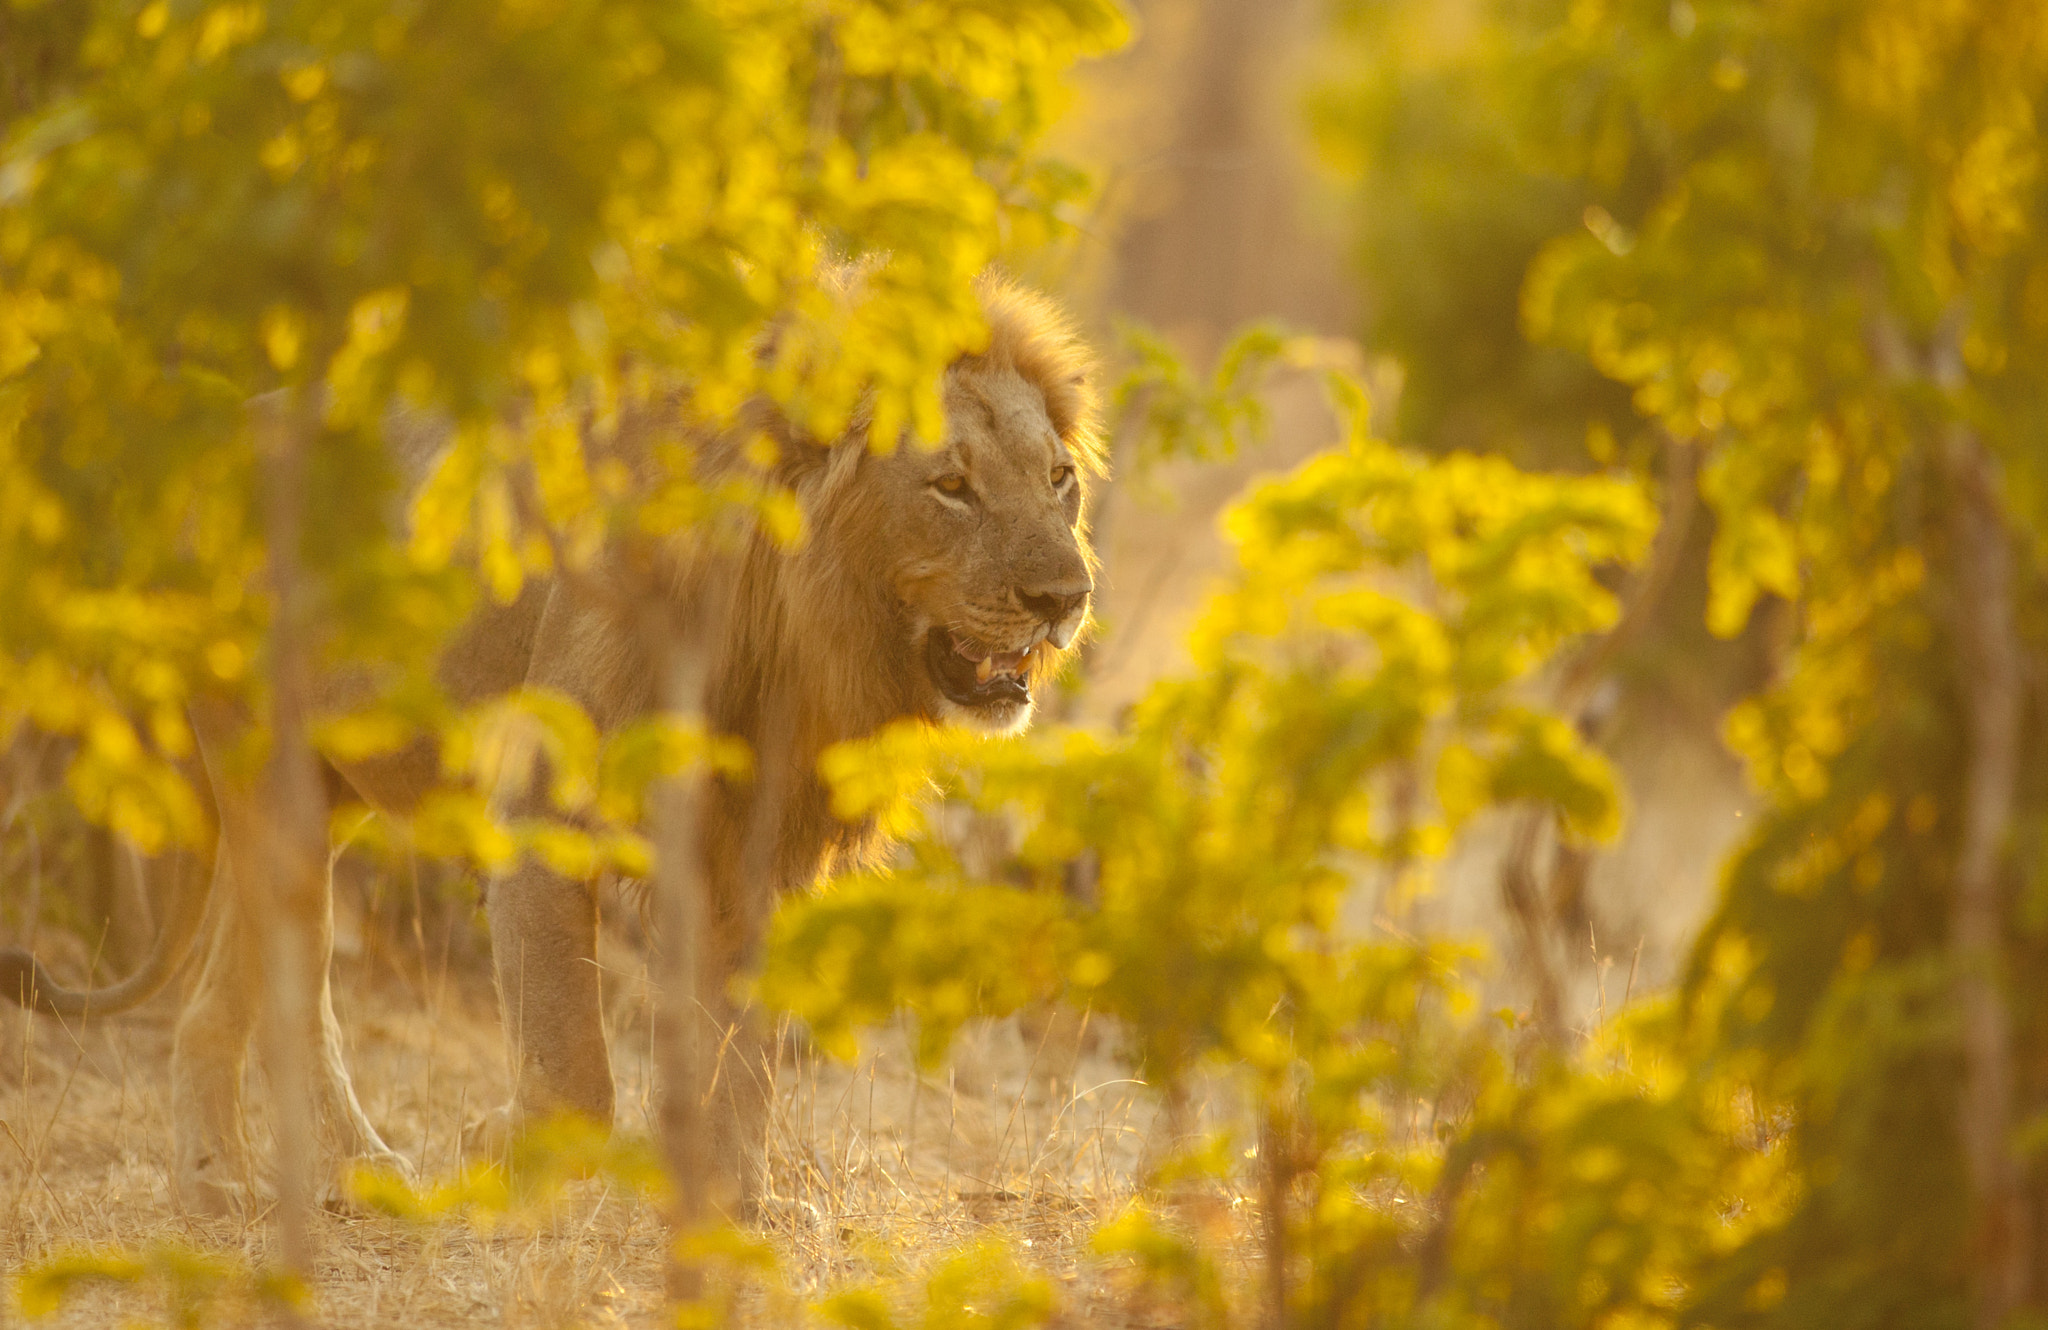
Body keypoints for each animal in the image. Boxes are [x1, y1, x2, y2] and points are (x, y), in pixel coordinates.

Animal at [0, 276, 1105, 1213]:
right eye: (951, 486)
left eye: (1058, 481)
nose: (1066, 596)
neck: (798, 622)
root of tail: (217, 443)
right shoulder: (541, 802)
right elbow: (576, 1063)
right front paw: (503, 1142)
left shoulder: (752, 848)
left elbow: (739, 1057)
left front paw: (738, 1204)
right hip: (267, 772)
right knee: (284, 991)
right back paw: (252, 1182)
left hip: (329, 796)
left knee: (245, 995)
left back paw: (311, 1174)